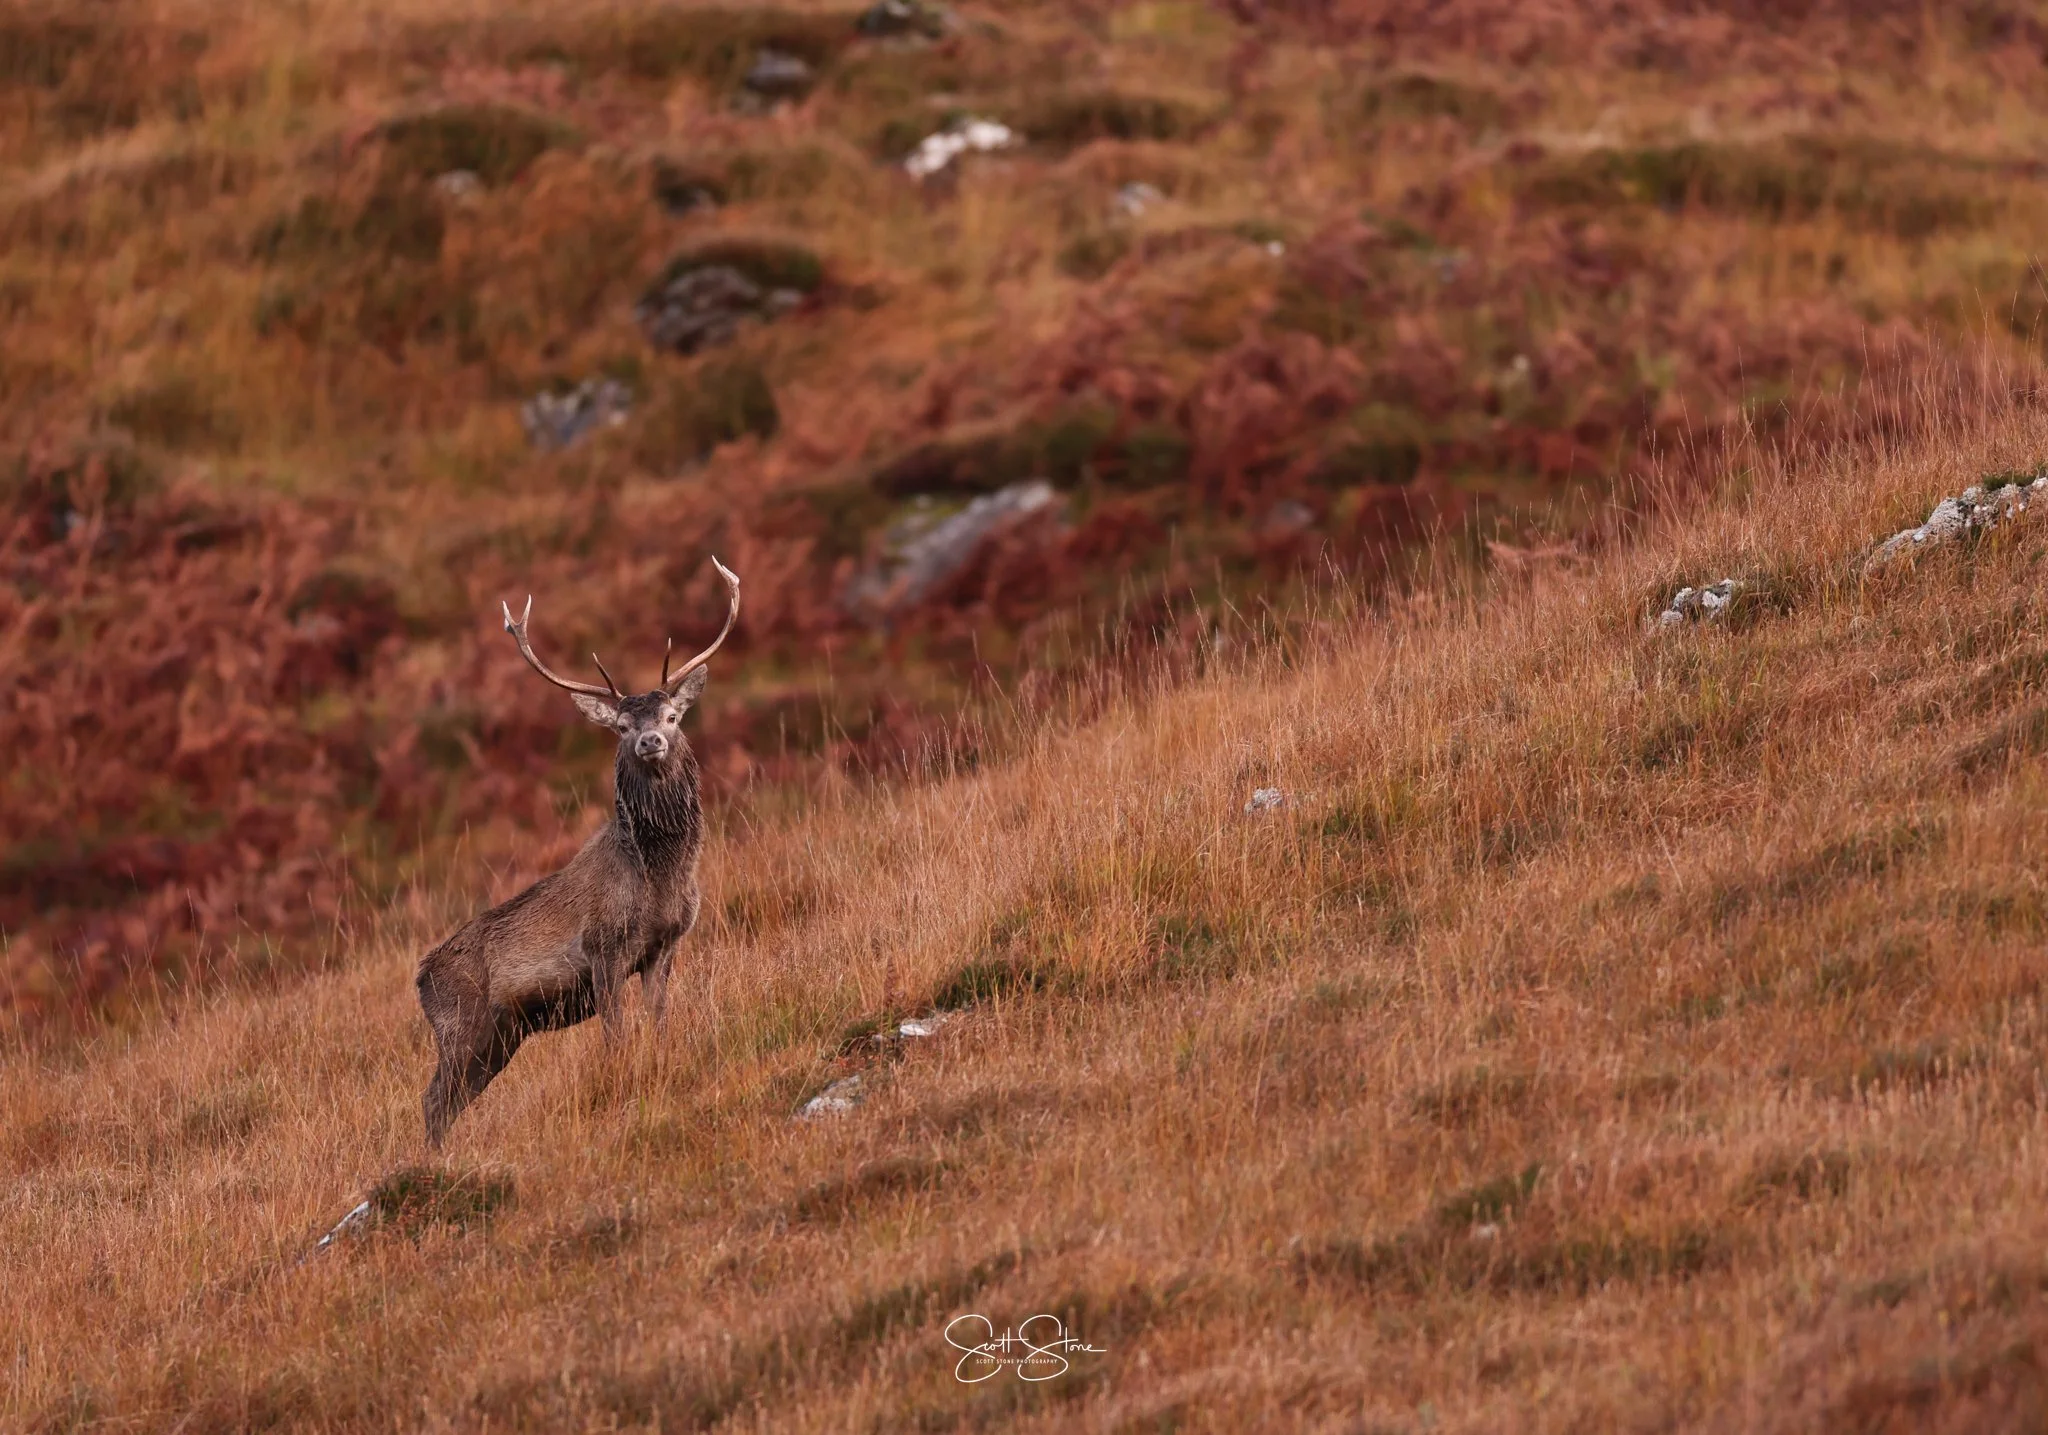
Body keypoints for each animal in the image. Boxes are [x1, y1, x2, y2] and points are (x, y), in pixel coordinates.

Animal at [414, 559, 740, 1147]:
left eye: (672, 717)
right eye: (621, 726)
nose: (650, 741)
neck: (660, 877)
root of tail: (419, 980)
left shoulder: (665, 945)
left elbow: (660, 1024)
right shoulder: (603, 951)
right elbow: (616, 1038)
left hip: (499, 1037)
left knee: (448, 1101)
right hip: (461, 1025)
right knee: (432, 1099)